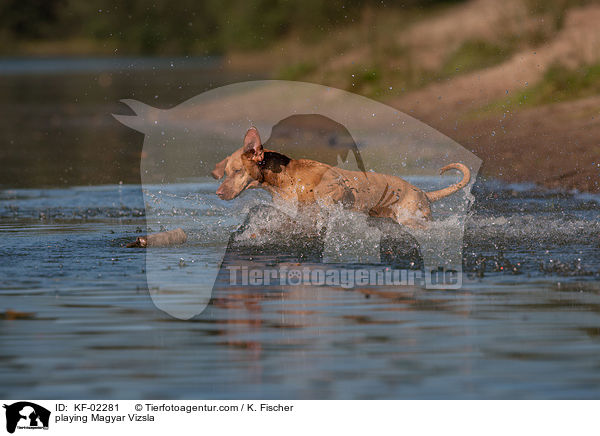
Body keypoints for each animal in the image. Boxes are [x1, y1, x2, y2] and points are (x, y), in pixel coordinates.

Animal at [213, 127, 472, 228]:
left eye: (237, 171)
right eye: (225, 172)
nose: (218, 193)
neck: (285, 179)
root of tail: (424, 193)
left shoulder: (336, 188)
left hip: (412, 217)